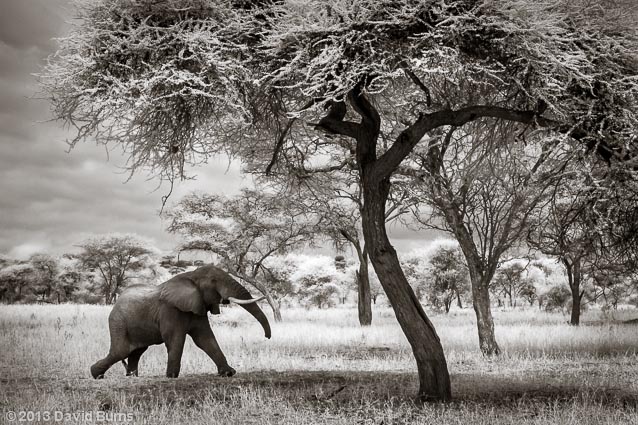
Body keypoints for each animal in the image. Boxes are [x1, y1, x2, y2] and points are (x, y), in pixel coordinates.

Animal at [89, 264, 270, 378]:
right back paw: (95, 374)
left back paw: (132, 377)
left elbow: (205, 339)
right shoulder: (170, 310)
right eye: (214, 282)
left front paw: (228, 373)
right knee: (121, 351)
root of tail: (116, 302)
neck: (191, 275)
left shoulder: (198, 307)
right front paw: (171, 376)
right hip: (118, 321)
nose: (267, 337)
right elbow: (175, 339)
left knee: (136, 352)